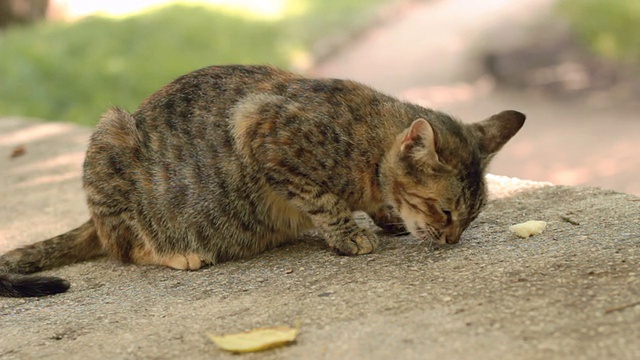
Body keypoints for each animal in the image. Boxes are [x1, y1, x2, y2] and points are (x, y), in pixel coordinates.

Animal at [0, 65, 524, 298]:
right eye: (446, 211)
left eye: (470, 218)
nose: (452, 240)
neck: (368, 145)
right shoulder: (261, 128)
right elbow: (323, 200)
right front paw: (349, 234)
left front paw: (385, 217)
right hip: (110, 137)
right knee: (124, 248)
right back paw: (177, 252)